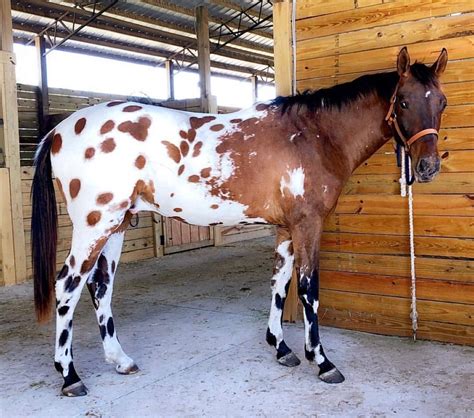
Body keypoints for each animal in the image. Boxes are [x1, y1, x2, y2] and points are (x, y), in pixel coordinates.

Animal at [32, 47, 448, 396]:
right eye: (404, 101)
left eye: (441, 102)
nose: (428, 168)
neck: (314, 136)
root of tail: (60, 129)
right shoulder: (308, 224)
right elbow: (308, 289)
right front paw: (321, 361)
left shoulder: (286, 227)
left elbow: (280, 283)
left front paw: (281, 348)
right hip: (95, 224)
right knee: (67, 286)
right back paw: (70, 376)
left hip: (118, 224)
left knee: (99, 286)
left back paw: (120, 360)